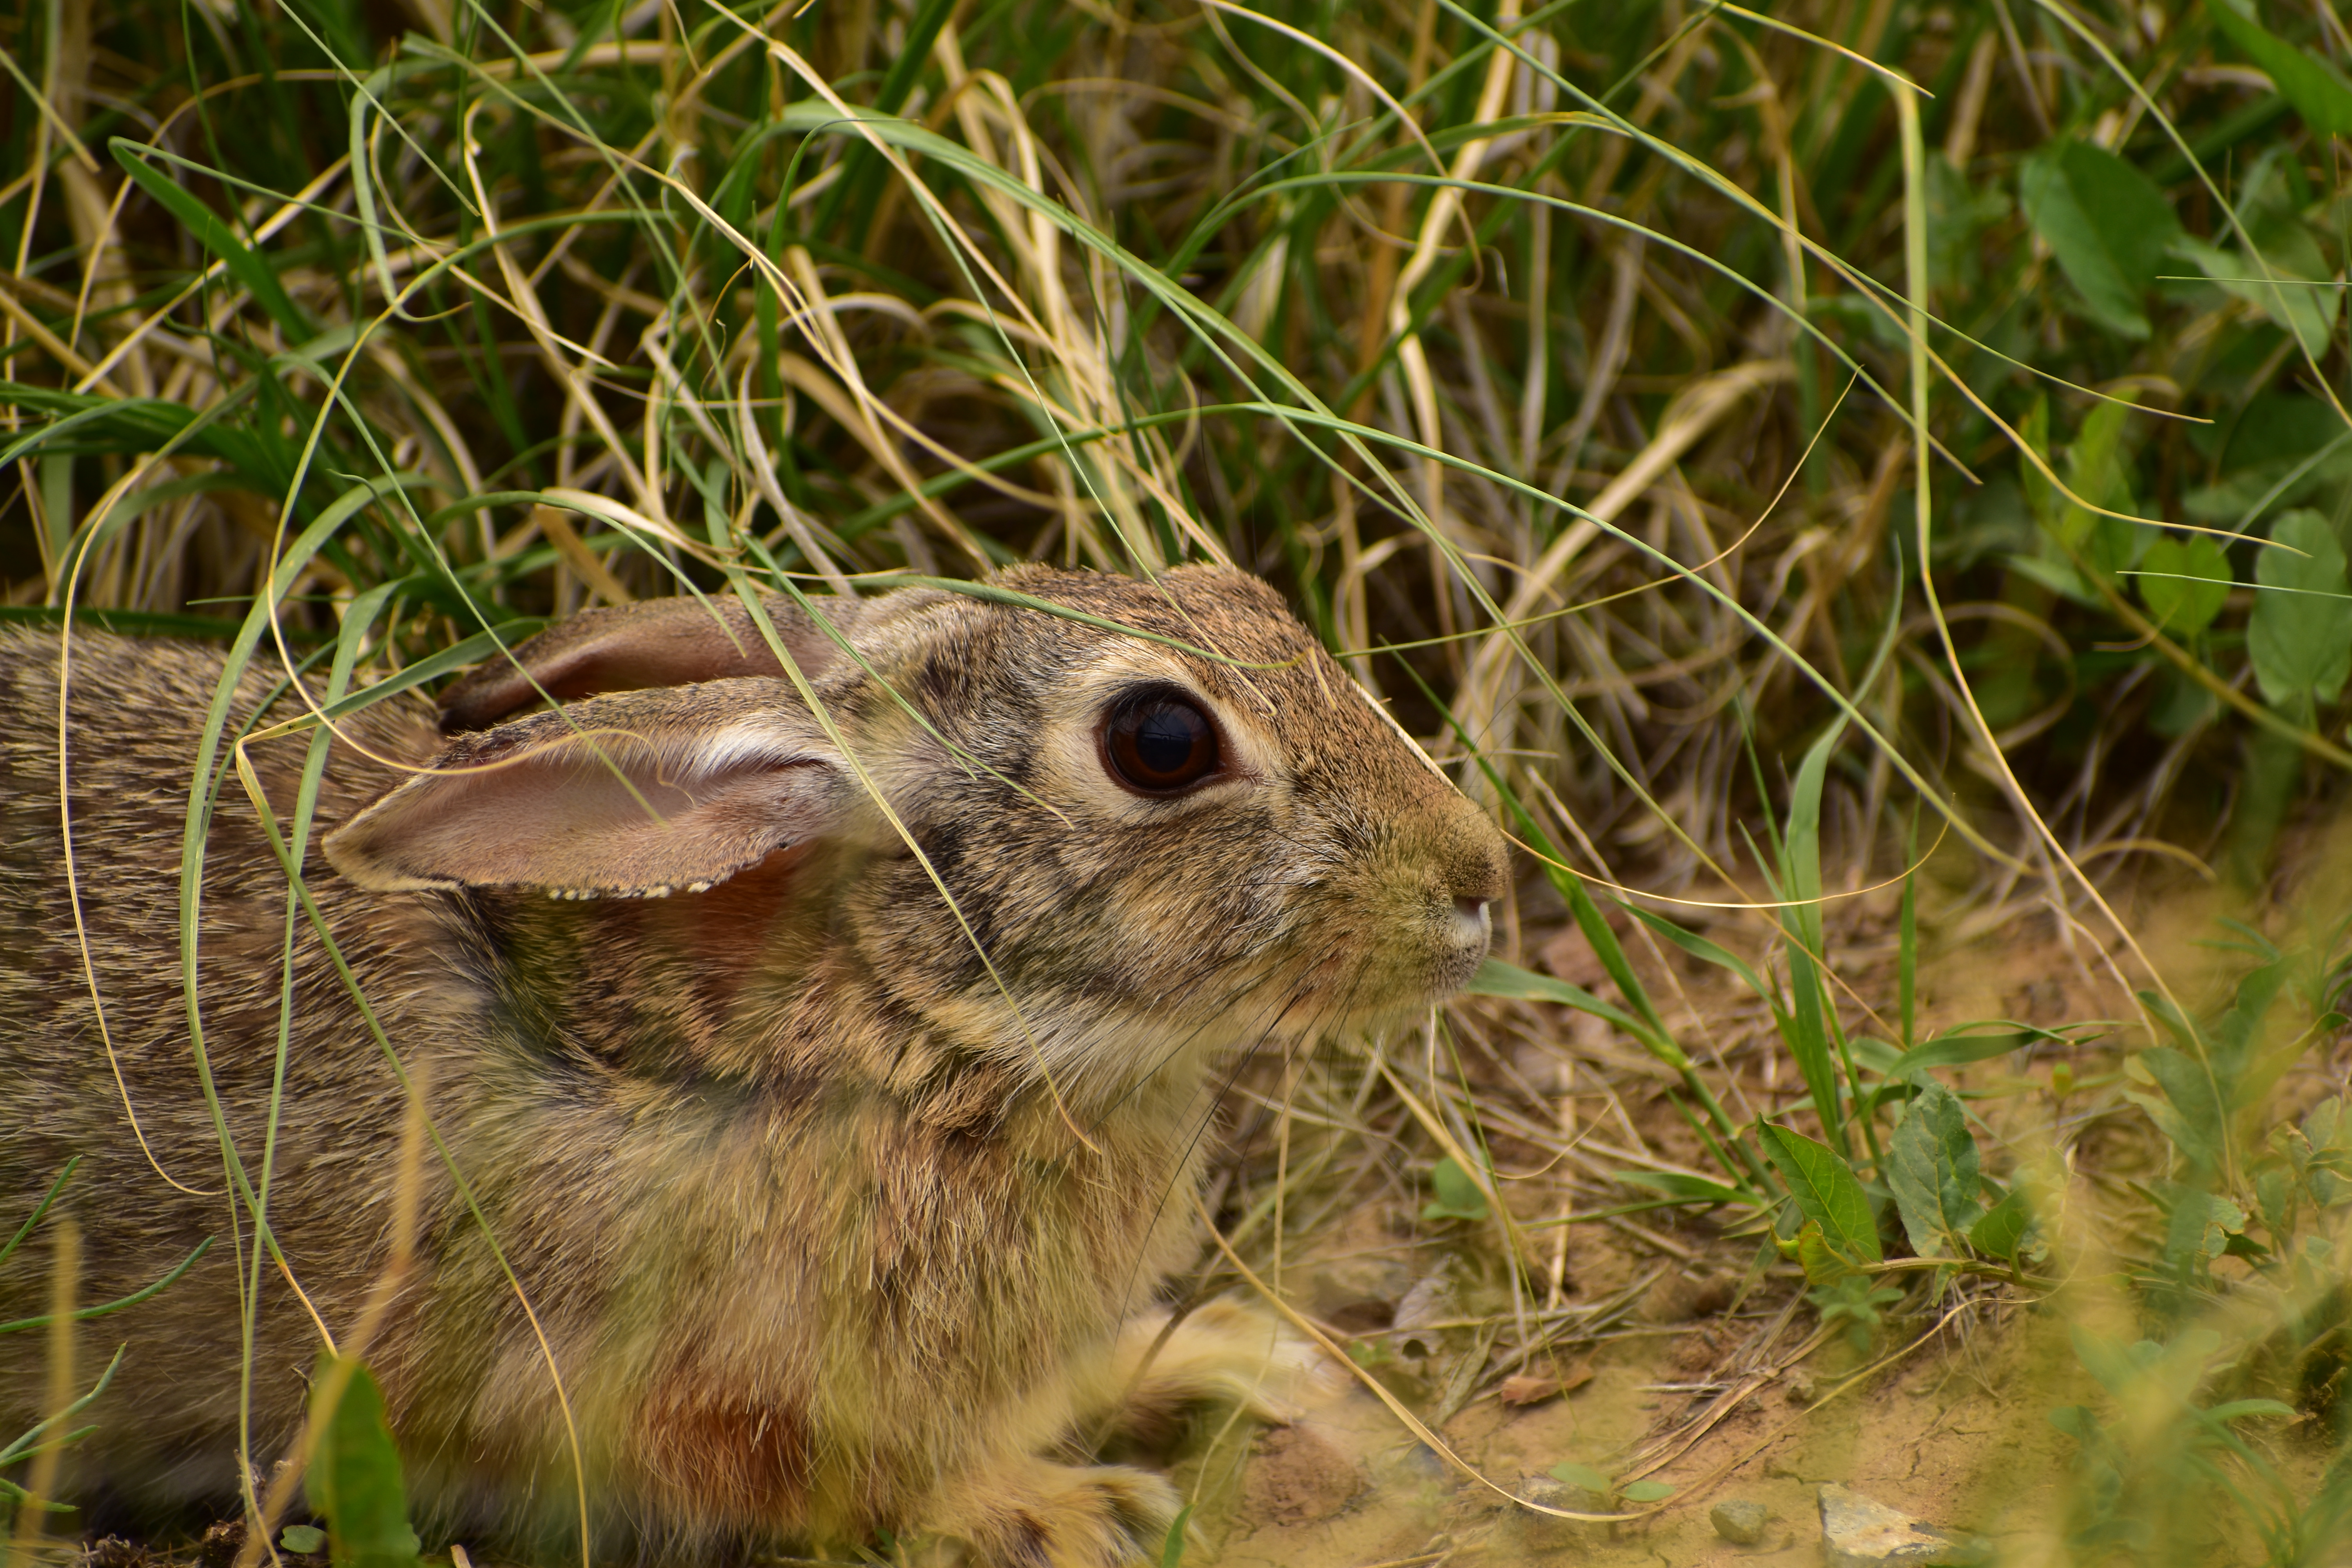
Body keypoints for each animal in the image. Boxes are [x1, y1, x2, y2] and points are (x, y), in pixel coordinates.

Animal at [0, 562, 1507, 1567]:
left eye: (1234, 584)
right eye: (1161, 740)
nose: (1480, 880)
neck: (897, 1036)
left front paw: (1226, 1359)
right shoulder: (636, 1404)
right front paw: (1060, 1511)